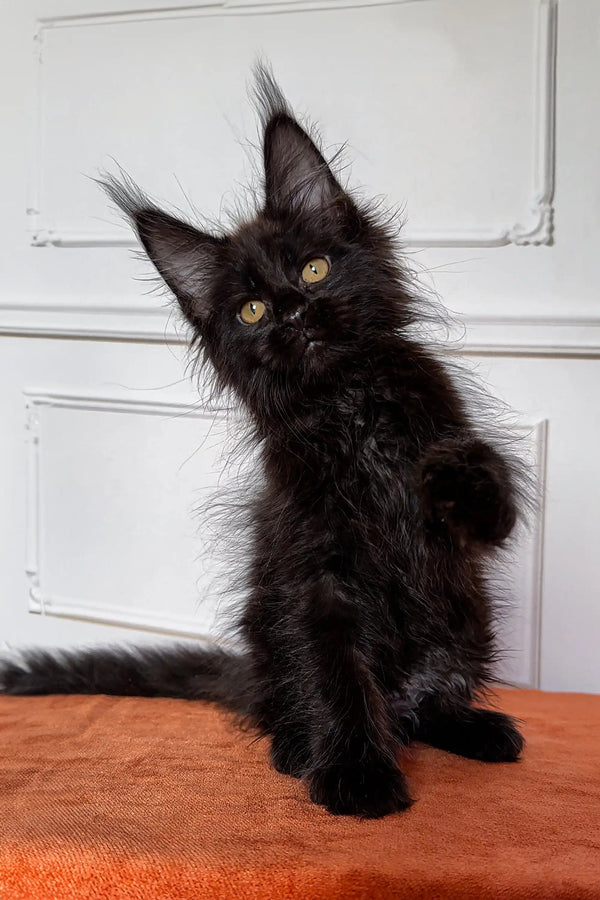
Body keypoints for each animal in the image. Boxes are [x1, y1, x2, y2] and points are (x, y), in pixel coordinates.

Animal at [0, 67, 524, 820]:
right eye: (250, 310)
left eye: (312, 270)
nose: (294, 314)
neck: (349, 409)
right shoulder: (314, 575)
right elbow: (336, 676)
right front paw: (357, 775)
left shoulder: (455, 489)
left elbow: (490, 486)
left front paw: (451, 474)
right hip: (273, 634)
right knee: (293, 705)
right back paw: (301, 749)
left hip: (467, 619)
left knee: (429, 708)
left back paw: (474, 725)